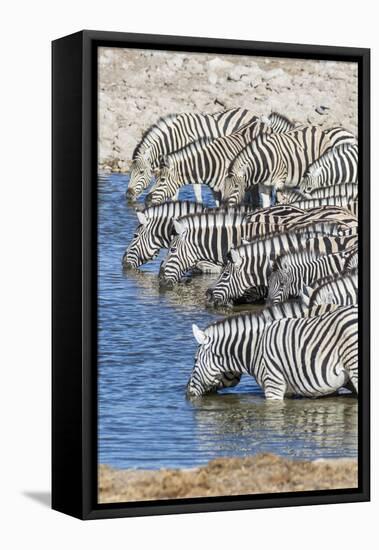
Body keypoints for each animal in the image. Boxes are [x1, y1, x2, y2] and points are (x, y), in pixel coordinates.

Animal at [126, 109, 296, 202]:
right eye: (130, 172)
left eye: (141, 172)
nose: (128, 195)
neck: (175, 137)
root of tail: (252, 113)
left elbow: (195, 189)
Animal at [221, 126, 358, 206]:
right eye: (224, 187)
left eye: (236, 186)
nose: (224, 206)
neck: (264, 164)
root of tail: (317, 128)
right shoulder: (263, 185)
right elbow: (265, 203)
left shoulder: (280, 181)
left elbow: (279, 200)